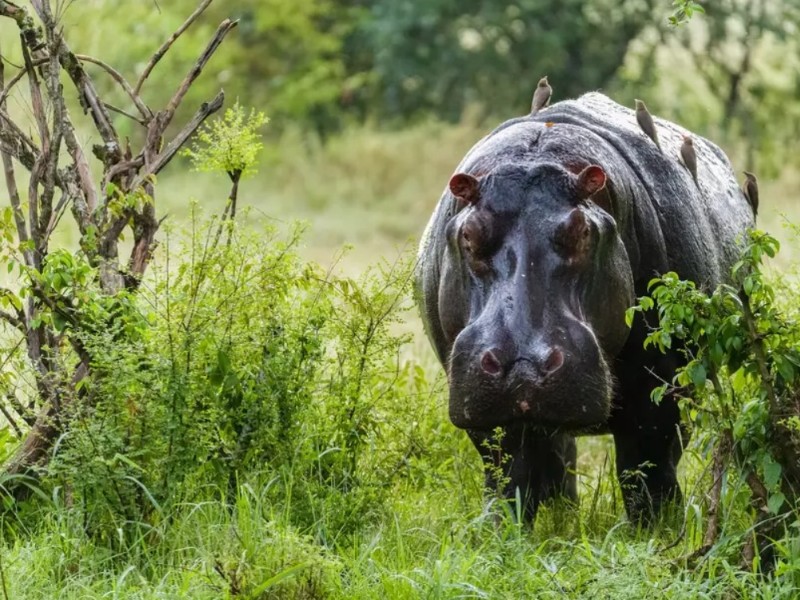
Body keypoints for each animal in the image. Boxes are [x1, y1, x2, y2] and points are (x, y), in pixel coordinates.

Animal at [415, 92, 754, 522]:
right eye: (469, 235)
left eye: (583, 232)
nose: (523, 364)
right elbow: (507, 468)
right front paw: (498, 529)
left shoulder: (664, 382)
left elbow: (647, 460)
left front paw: (656, 527)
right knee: (554, 453)